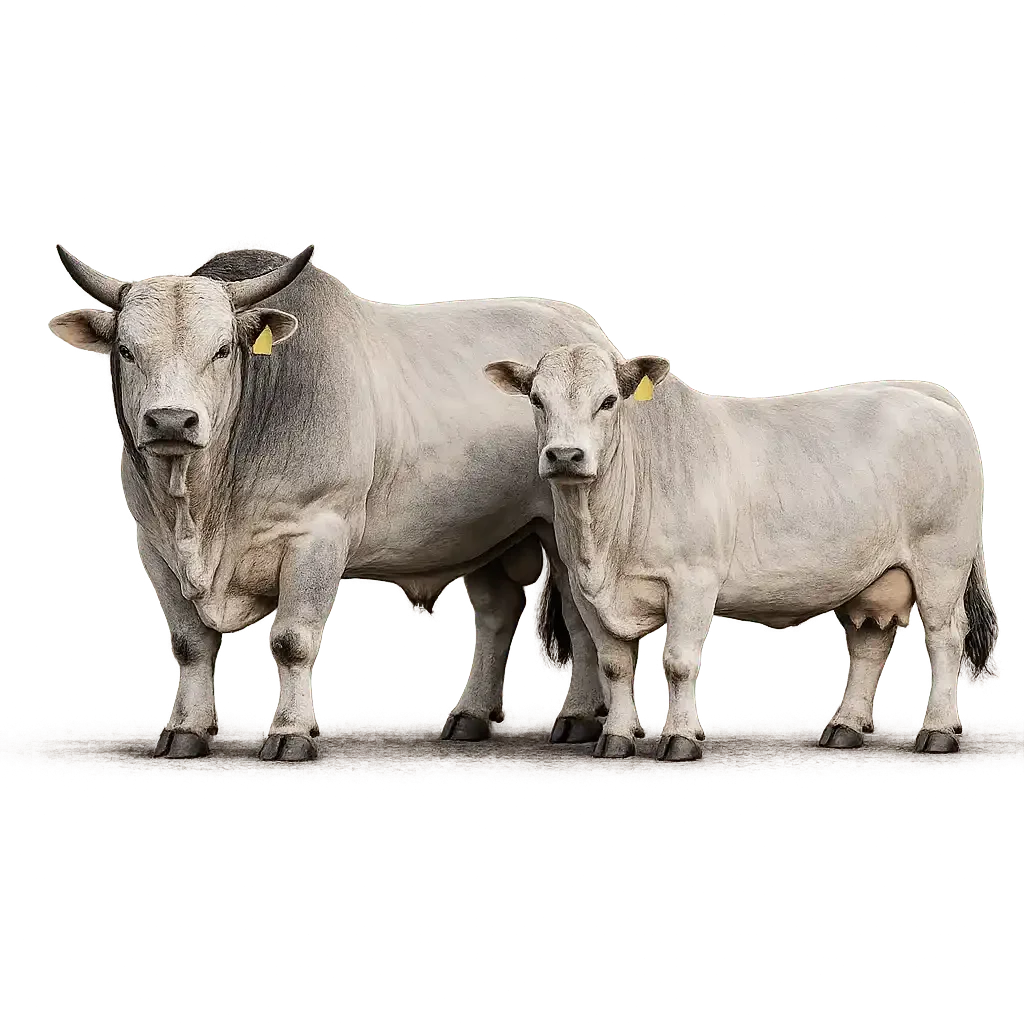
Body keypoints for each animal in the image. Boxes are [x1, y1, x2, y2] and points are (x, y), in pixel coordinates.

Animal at [46, 242, 617, 761]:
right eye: (126, 349)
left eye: (223, 349)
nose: (170, 421)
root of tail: (587, 330)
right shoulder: (156, 548)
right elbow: (190, 644)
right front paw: (186, 730)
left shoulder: (317, 534)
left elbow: (292, 640)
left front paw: (291, 732)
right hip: (482, 533)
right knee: (497, 613)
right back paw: (469, 716)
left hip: (561, 530)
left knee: (578, 616)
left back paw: (577, 717)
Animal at [485, 343, 999, 761]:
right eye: (537, 400)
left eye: (608, 400)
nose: (564, 455)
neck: (603, 542)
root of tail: (923, 392)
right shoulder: (586, 589)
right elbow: (614, 663)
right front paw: (617, 736)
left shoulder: (693, 580)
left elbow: (678, 662)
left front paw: (680, 738)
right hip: (872, 578)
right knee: (870, 644)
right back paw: (844, 727)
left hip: (940, 563)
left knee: (944, 638)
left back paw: (938, 730)